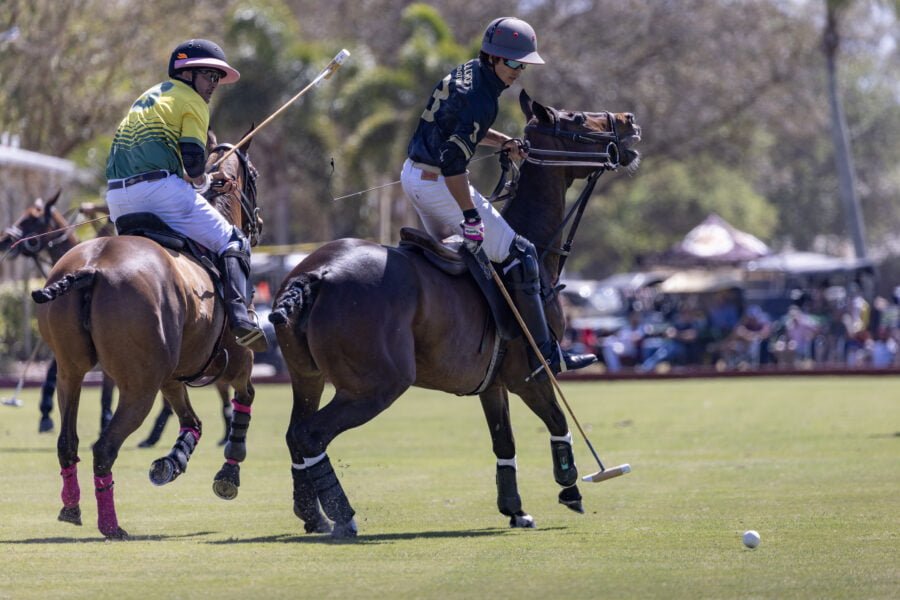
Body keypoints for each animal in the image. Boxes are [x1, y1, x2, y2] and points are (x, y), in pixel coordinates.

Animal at [31, 131, 262, 540]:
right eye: (255, 176)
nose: (260, 223)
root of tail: (91, 268)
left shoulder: (173, 376)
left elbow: (192, 421)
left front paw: (172, 462)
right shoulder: (235, 360)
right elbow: (244, 398)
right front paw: (228, 474)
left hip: (72, 371)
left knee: (67, 441)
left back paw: (72, 507)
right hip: (140, 386)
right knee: (104, 448)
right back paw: (111, 526)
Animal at [268, 90, 640, 540]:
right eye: (577, 120)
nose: (629, 120)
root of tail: (313, 276)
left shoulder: (492, 383)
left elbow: (504, 442)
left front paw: (515, 509)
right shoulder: (529, 375)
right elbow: (556, 420)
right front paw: (571, 486)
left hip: (307, 376)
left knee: (294, 432)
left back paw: (314, 515)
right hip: (376, 385)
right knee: (311, 435)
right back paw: (343, 515)